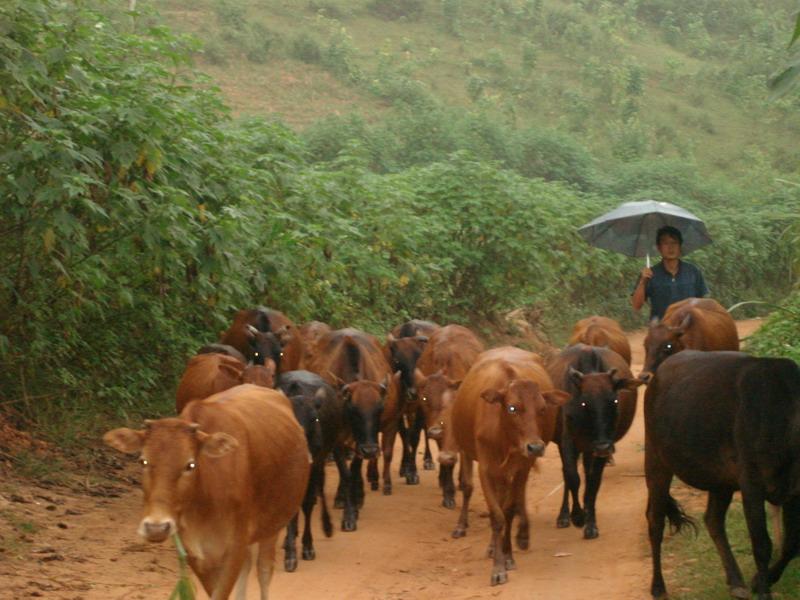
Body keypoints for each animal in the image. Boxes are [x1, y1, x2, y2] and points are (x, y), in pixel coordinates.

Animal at [103, 384, 310, 600]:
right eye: (142, 461)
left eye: (190, 465)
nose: (156, 528)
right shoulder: (195, 552)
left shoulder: (234, 548)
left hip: (273, 524)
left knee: (263, 570)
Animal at [450, 346, 568, 584]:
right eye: (512, 408)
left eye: (542, 409)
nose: (535, 447)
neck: (505, 437)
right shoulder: (486, 468)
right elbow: (496, 516)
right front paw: (498, 567)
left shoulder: (522, 468)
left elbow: (508, 511)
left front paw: (507, 556)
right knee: (473, 490)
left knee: (513, 499)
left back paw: (516, 538)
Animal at [644, 352, 800, 600]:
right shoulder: (751, 485)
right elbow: (762, 544)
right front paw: (763, 590)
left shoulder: (793, 490)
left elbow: (792, 543)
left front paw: (759, 581)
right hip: (656, 461)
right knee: (655, 521)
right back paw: (658, 587)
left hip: (721, 481)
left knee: (713, 520)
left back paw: (736, 582)